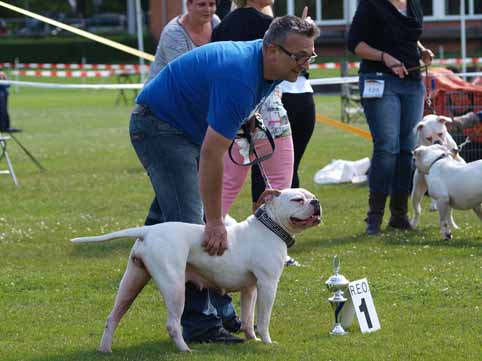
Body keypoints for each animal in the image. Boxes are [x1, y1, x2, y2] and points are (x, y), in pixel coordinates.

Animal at [70, 188, 320, 352]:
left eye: (311, 196)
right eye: (298, 200)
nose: (316, 202)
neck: (270, 226)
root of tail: (148, 231)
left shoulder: (250, 289)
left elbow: (249, 319)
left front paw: (253, 339)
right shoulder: (268, 285)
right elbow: (263, 318)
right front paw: (267, 343)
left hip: (132, 282)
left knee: (112, 317)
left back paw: (105, 349)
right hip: (174, 287)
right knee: (172, 324)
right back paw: (185, 350)